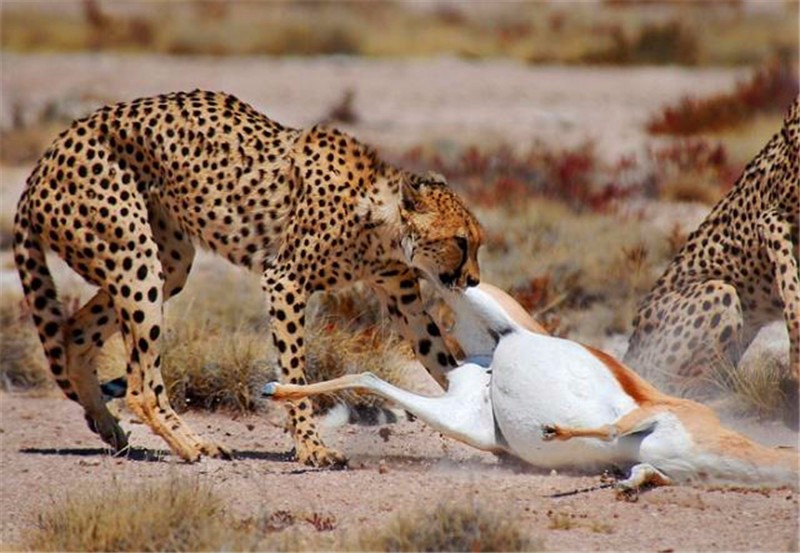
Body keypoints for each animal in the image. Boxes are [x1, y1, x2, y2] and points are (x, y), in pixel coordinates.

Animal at [14, 88, 482, 464]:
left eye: (477, 243)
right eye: (461, 241)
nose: (474, 280)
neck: (381, 221)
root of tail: (48, 156)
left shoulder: (404, 301)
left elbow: (442, 360)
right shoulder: (285, 282)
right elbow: (294, 371)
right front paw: (312, 448)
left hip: (168, 264)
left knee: (75, 331)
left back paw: (110, 428)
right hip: (135, 257)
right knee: (141, 387)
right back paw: (192, 446)